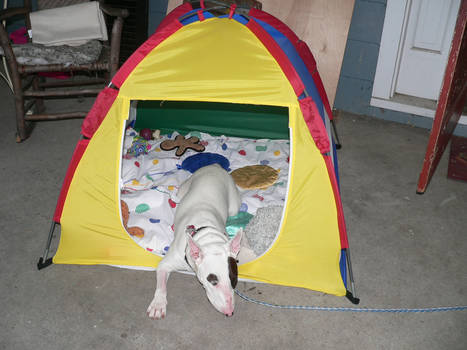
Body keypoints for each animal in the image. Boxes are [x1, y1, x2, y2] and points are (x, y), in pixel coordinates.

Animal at [147, 163, 243, 318]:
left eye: (234, 279)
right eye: (213, 281)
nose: (229, 312)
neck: (206, 235)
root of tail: (214, 165)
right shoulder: (166, 263)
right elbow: (161, 281)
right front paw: (158, 304)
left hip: (233, 204)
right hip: (186, 187)